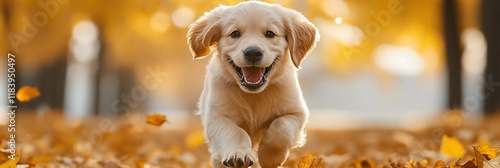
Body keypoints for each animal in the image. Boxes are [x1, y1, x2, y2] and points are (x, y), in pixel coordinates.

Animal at [186, 0, 318, 167]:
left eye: (270, 34)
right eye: (235, 34)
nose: (253, 53)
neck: (253, 95)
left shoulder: (296, 112)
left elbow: (281, 127)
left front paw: (269, 157)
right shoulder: (216, 117)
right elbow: (235, 131)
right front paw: (238, 154)